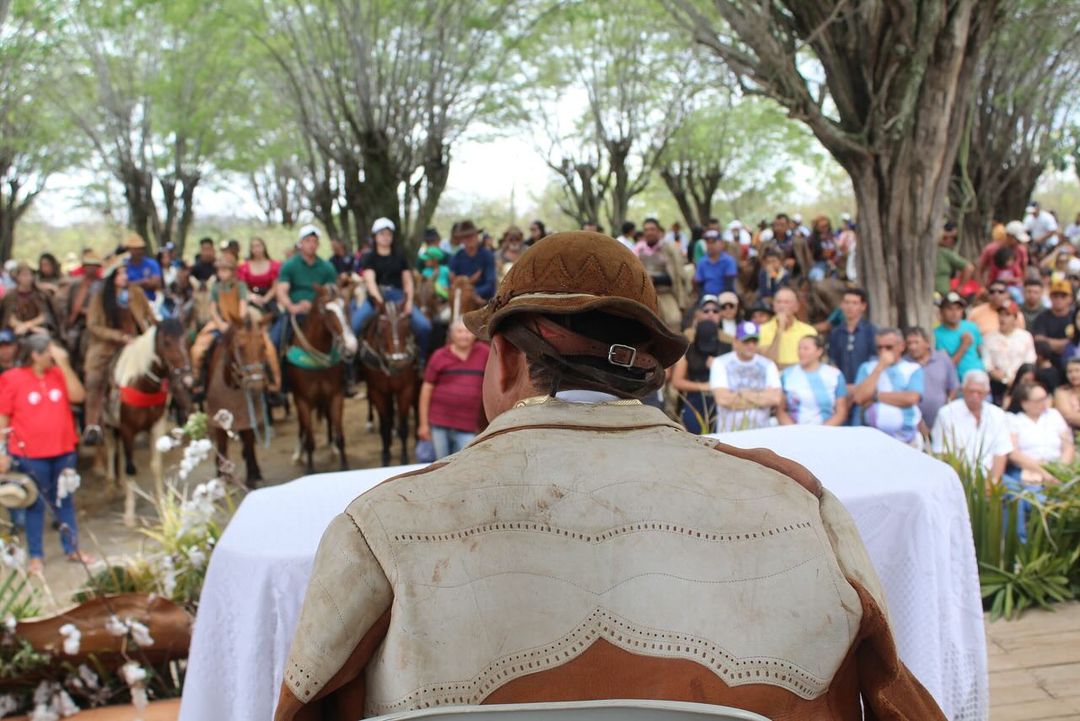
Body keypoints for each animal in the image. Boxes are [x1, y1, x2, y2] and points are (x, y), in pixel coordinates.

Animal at [103, 317, 194, 526]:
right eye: (166, 342)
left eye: (187, 339)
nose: (187, 379)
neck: (141, 383)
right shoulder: (128, 429)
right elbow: (130, 468)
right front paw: (129, 514)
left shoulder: (157, 427)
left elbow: (156, 465)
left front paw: (163, 506)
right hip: (109, 424)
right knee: (111, 447)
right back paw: (111, 486)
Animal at [206, 317, 272, 490]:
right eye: (240, 347)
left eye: (263, 346)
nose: (256, 385)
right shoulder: (218, 423)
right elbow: (222, 447)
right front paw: (223, 477)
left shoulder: (248, 420)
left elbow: (249, 447)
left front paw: (251, 478)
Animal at [285, 284, 356, 474]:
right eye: (325, 310)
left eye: (347, 306)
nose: (351, 346)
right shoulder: (302, 401)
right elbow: (310, 440)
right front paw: (310, 469)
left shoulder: (336, 396)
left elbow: (340, 436)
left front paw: (345, 466)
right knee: (302, 429)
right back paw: (298, 453)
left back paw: (332, 448)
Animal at [358, 300, 416, 464]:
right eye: (380, 330)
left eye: (406, 325)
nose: (399, 362)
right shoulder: (379, 392)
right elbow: (385, 426)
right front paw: (385, 456)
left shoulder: (406, 389)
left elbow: (403, 427)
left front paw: (404, 458)